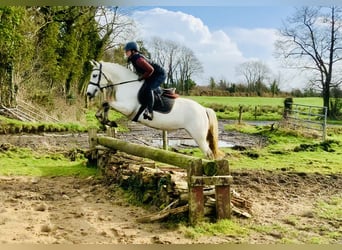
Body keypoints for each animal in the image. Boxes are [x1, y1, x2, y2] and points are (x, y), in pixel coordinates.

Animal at [87, 60, 223, 158]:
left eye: (94, 75)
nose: (88, 93)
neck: (127, 85)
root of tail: (204, 109)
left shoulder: (128, 108)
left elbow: (106, 103)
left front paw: (107, 121)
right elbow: (106, 104)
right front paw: (106, 121)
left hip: (199, 136)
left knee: (209, 154)